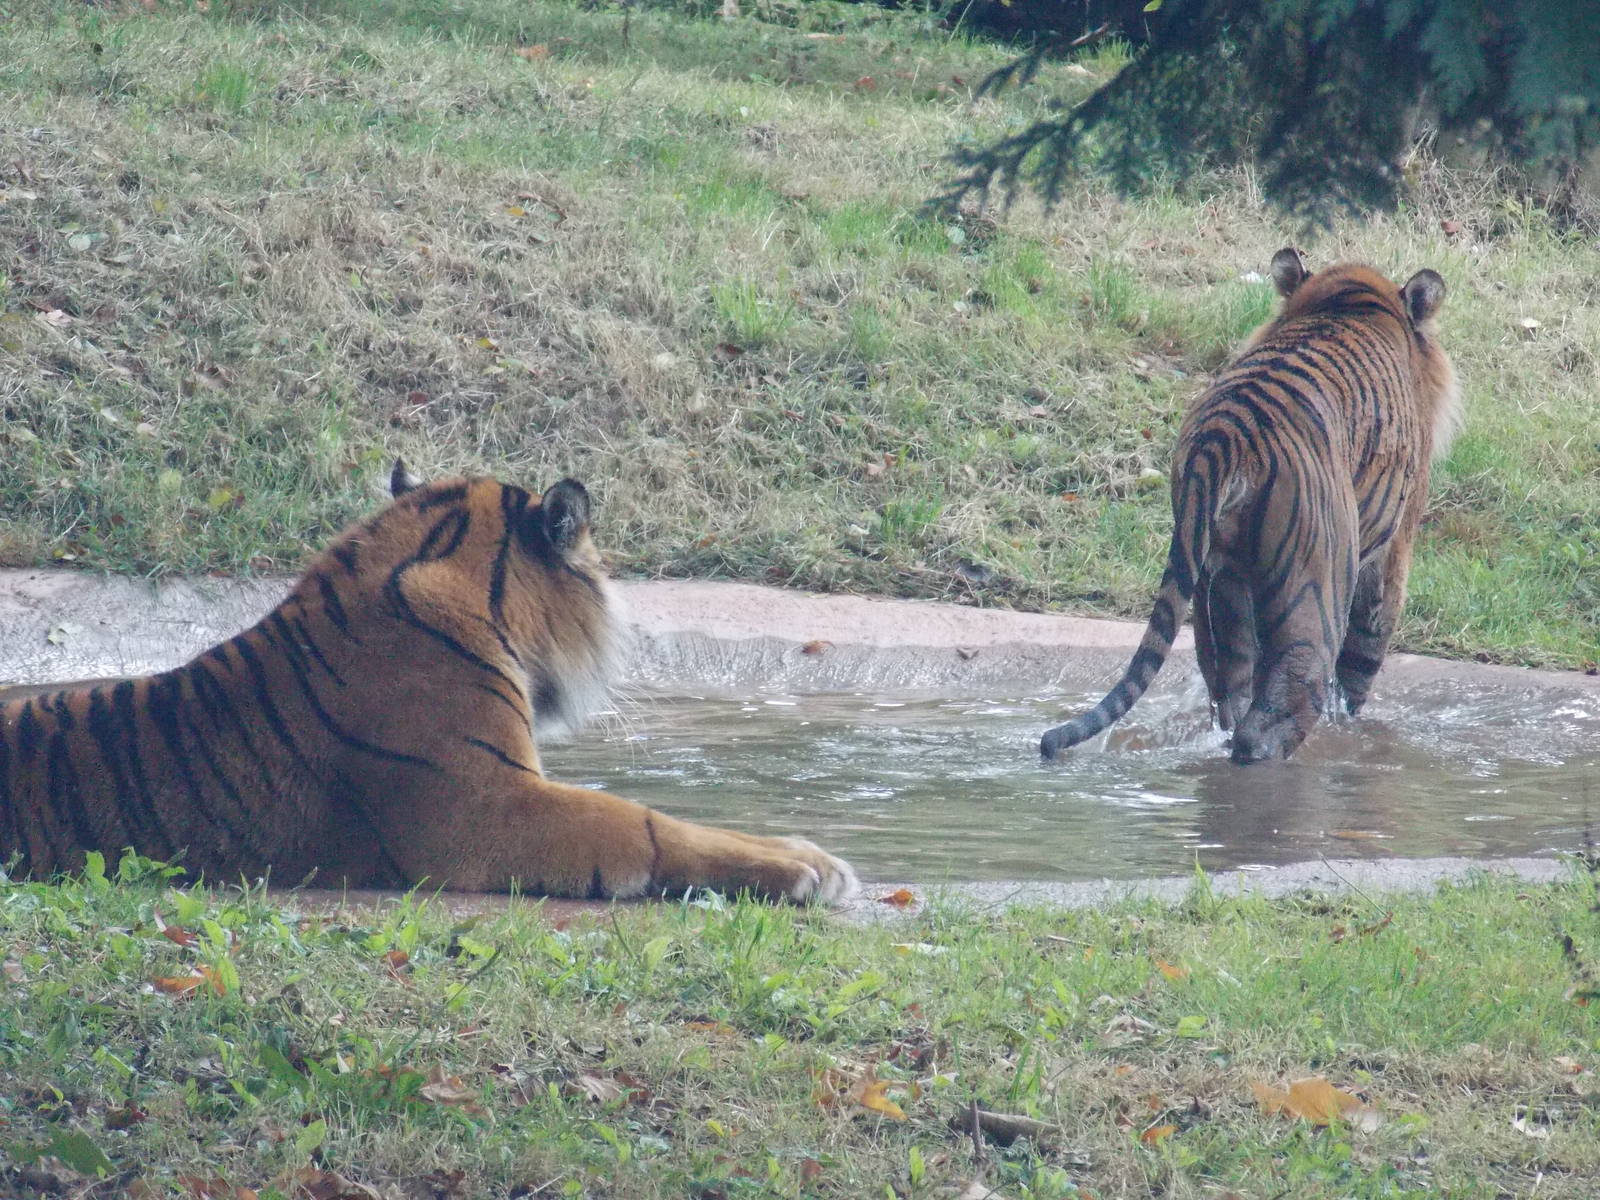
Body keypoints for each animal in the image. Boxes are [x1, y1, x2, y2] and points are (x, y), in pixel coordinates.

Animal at [1041, 247, 1460, 764]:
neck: (1351, 301)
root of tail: (1225, 432)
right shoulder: (1393, 545)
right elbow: (1365, 651)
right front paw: (1353, 727)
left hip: (1216, 585)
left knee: (1230, 693)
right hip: (1316, 582)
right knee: (1276, 710)